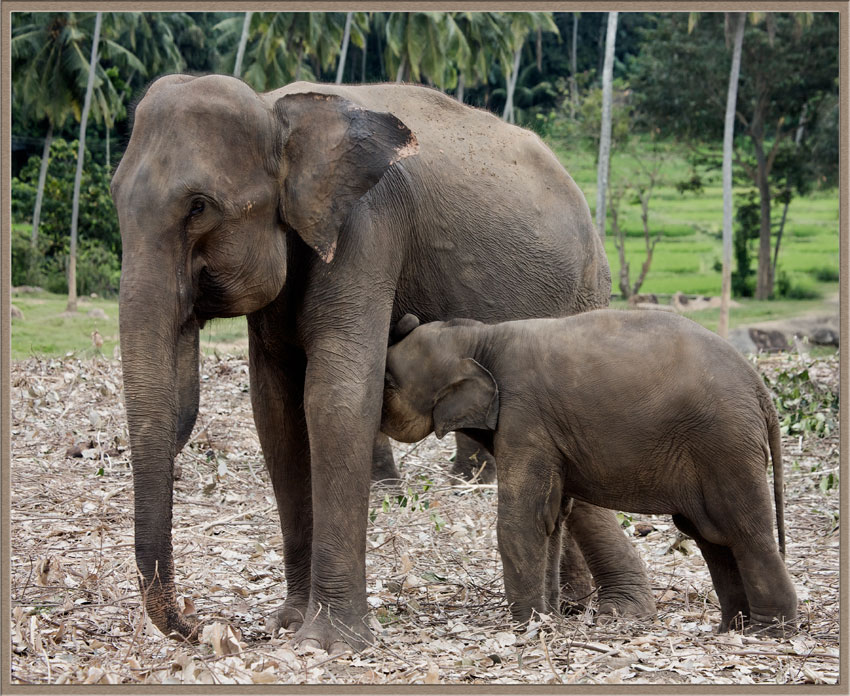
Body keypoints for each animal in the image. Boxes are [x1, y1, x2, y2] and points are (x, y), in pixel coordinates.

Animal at [112, 76, 652, 652]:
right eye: (116, 198)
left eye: (199, 206)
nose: (204, 628)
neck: (275, 107)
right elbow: (276, 413)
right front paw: (288, 624)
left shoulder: (369, 229)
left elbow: (337, 397)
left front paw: (327, 643)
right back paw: (570, 605)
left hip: (584, 294)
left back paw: (599, 608)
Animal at [384, 310, 796, 632]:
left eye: (388, 382)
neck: (479, 336)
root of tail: (760, 388)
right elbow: (552, 518)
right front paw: (548, 619)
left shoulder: (524, 417)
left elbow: (523, 517)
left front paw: (529, 627)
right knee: (710, 534)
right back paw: (731, 629)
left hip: (725, 444)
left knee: (744, 530)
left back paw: (767, 633)